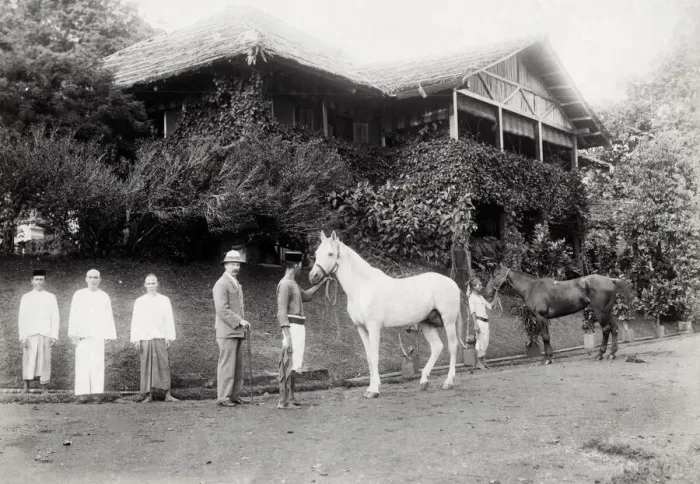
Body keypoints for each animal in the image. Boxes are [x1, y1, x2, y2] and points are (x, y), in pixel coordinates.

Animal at [309, 231, 466, 398]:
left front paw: (374, 390)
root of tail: (452, 283)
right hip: (426, 323)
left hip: (448, 321)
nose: (313, 276)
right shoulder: (361, 328)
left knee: (452, 346)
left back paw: (448, 382)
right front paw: (371, 387)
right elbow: (369, 357)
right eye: (316, 253)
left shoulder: (374, 327)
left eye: (330, 254)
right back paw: (424, 381)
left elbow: (375, 356)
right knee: (437, 347)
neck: (362, 287)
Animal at [486, 263, 635, 364]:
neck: (532, 287)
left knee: (606, 330)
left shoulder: (541, 317)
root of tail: (610, 280)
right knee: (614, 329)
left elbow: (545, 337)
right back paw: (612, 354)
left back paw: (600, 354)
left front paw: (547, 359)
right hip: (607, 312)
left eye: (495, 275)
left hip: (600, 312)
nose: (487, 290)